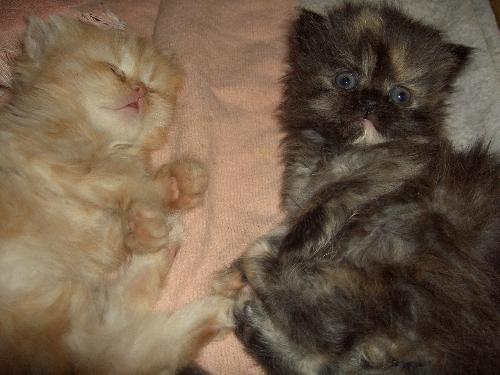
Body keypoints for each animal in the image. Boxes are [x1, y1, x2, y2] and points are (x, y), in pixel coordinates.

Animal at [0, 16, 232, 374]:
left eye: (151, 87)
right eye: (114, 70)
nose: (139, 91)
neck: (101, 138)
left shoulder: (91, 234)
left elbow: (120, 213)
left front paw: (177, 188)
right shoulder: (44, 159)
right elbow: (121, 179)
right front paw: (158, 210)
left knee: (123, 342)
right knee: (123, 344)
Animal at [217, 2, 500, 375]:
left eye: (400, 95)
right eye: (346, 81)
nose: (370, 102)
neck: (347, 150)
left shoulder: (373, 181)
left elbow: (309, 221)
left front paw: (251, 265)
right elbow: (296, 220)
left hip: (406, 275)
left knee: (325, 327)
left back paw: (254, 273)